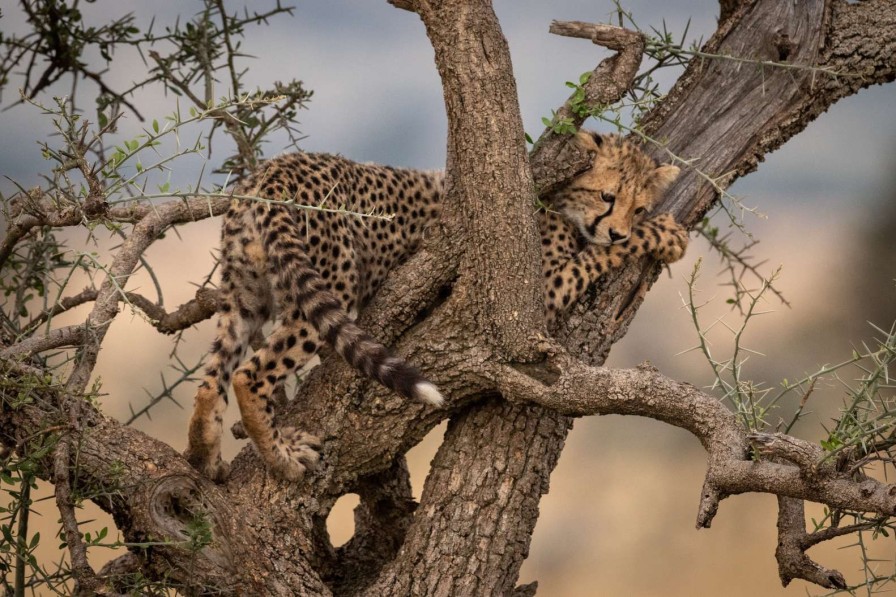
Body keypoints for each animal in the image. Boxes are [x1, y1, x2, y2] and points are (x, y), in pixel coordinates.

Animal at [184, 129, 688, 480]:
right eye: (607, 196)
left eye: (638, 207)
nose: (619, 229)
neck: (559, 198)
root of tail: (275, 171)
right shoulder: (534, 293)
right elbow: (594, 255)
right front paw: (665, 236)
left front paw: (652, 232)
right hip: (331, 285)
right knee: (250, 375)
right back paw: (283, 459)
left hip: (245, 294)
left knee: (213, 377)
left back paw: (206, 455)